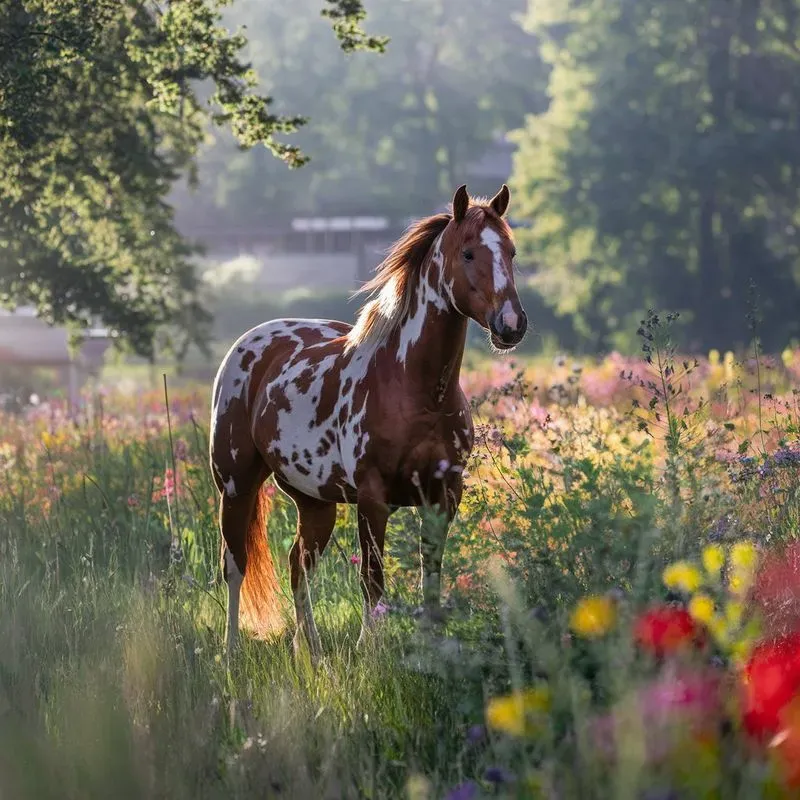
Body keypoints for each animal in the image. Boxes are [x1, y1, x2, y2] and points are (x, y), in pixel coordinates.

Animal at [209, 184, 527, 662]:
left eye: (510, 251)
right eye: (469, 252)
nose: (511, 325)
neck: (415, 388)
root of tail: (250, 344)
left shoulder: (443, 496)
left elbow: (431, 577)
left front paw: (431, 648)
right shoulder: (374, 499)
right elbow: (373, 580)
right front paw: (370, 651)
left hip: (314, 503)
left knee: (298, 565)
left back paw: (312, 650)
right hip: (236, 486)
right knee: (235, 565)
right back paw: (231, 653)